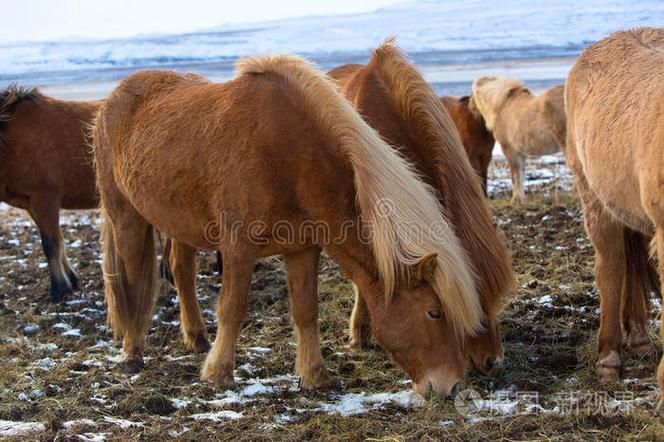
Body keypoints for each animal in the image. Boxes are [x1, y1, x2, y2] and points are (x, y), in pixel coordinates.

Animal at [0, 85, 100, 301]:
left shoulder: (44, 198)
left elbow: (50, 244)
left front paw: (58, 289)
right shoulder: (30, 204)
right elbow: (58, 241)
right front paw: (71, 280)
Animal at [92, 55, 484, 397]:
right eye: (434, 312)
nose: (451, 387)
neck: (288, 155)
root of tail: (112, 99)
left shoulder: (302, 249)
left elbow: (306, 311)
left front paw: (315, 376)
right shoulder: (238, 249)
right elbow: (232, 308)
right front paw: (219, 373)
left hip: (178, 222)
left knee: (181, 271)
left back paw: (197, 339)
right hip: (125, 216)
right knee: (131, 283)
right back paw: (132, 352)